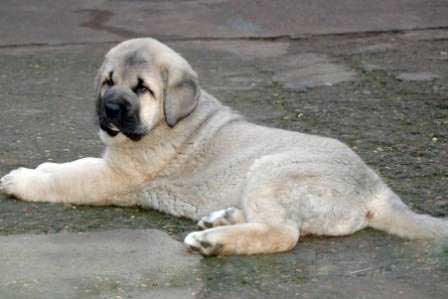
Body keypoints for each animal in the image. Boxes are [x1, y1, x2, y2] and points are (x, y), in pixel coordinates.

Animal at [0, 38, 448, 256]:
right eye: (108, 81)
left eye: (142, 88)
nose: (109, 108)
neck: (168, 120)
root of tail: (378, 188)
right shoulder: (109, 162)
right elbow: (71, 163)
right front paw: (42, 167)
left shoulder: (115, 177)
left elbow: (66, 178)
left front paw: (20, 180)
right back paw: (221, 220)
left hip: (272, 171)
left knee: (283, 233)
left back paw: (213, 242)